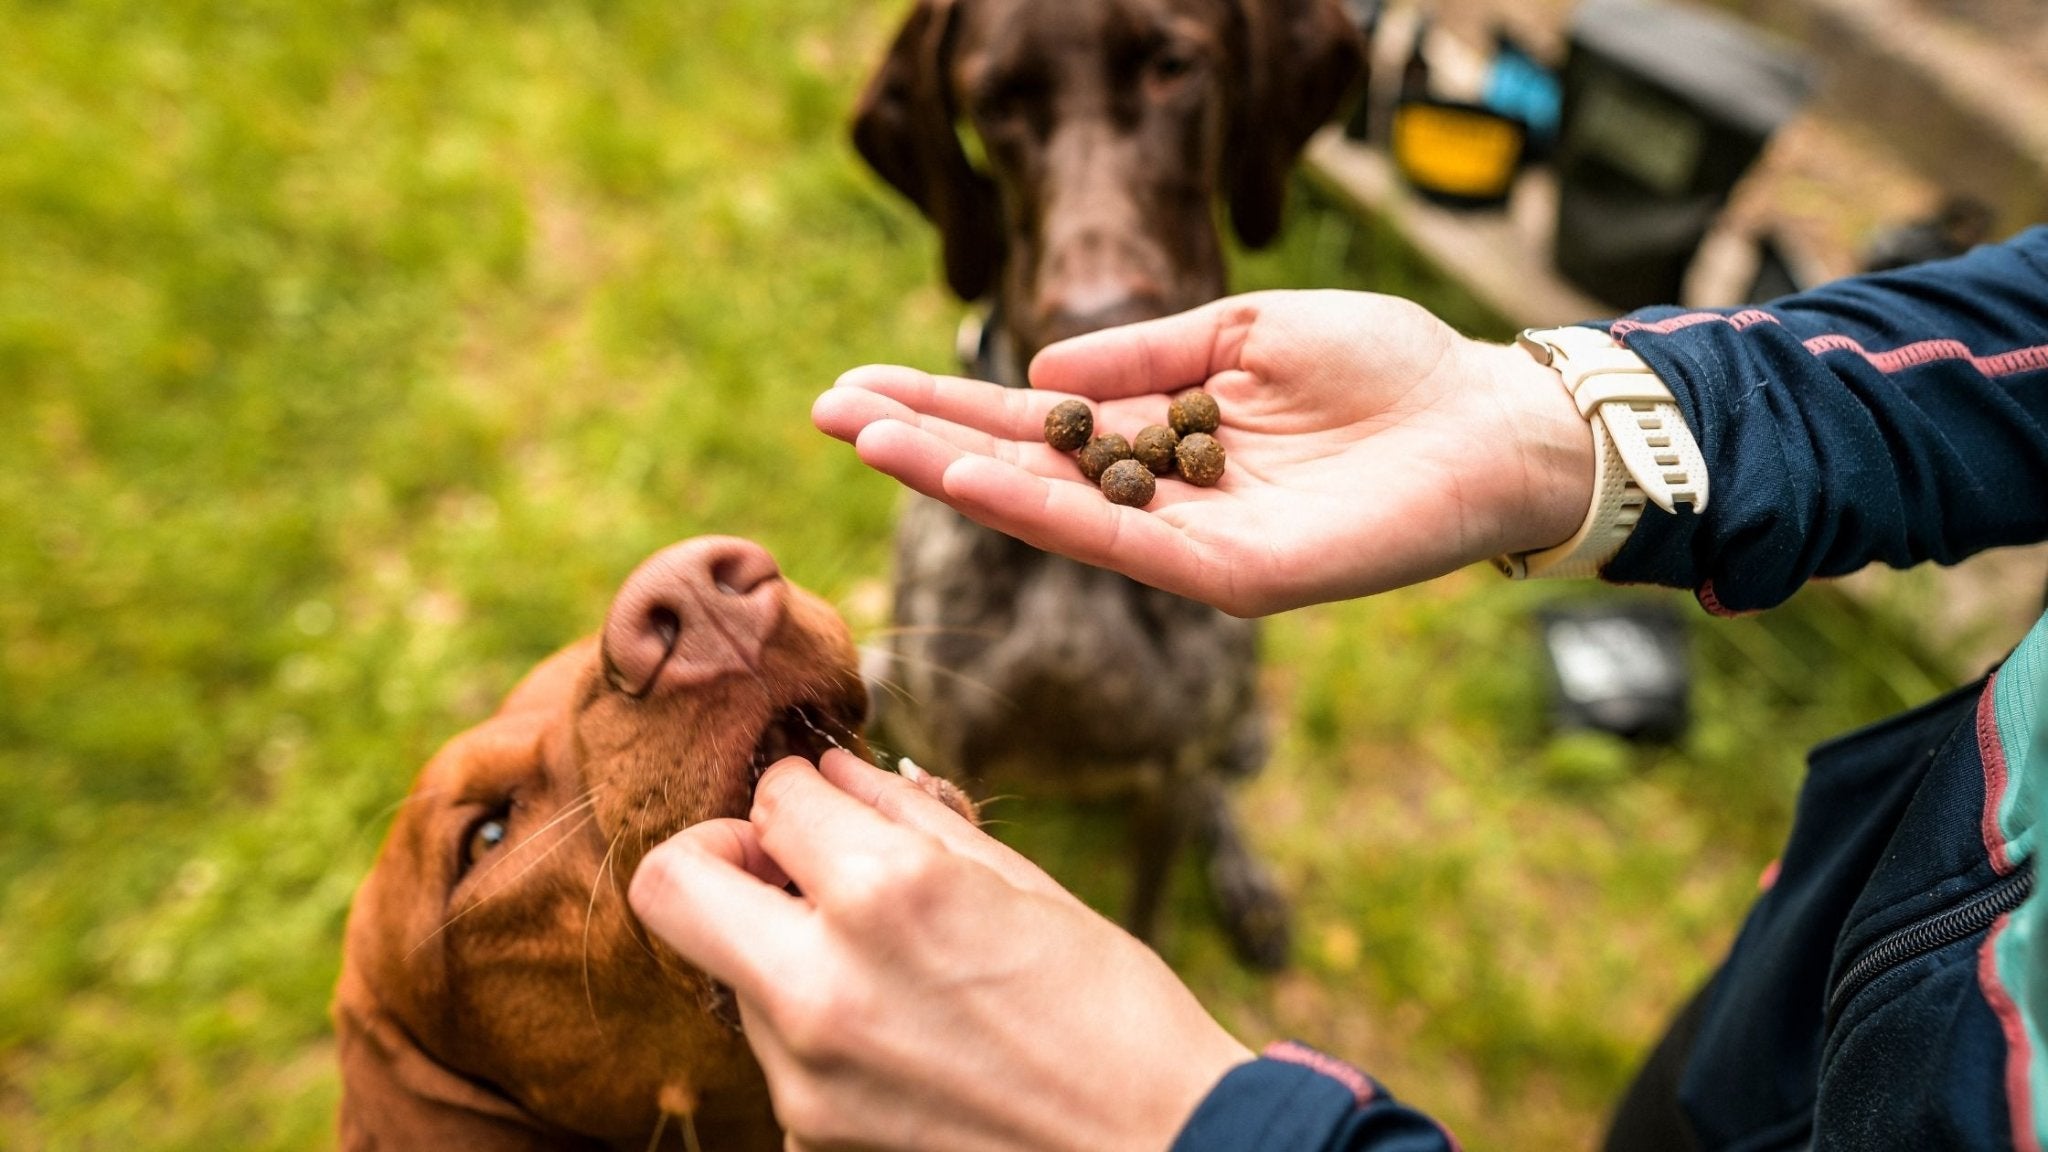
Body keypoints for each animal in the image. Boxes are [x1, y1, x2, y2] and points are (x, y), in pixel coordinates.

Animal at [847, 0, 1359, 963]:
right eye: (995, 102)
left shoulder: (1173, 766)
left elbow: (1147, 918)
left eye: (1174, 66)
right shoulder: (952, 739)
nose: (1099, 318)